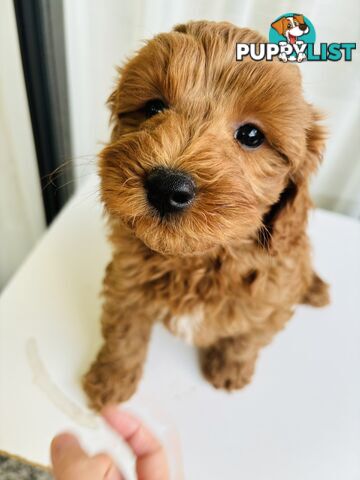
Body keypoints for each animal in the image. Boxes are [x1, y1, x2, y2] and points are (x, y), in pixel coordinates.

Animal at [83, 19, 330, 408]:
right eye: (154, 108)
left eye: (251, 134)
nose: (166, 186)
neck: (196, 261)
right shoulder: (125, 279)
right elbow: (124, 333)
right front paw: (110, 381)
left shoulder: (272, 299)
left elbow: (246, 338)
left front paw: (229, 369)